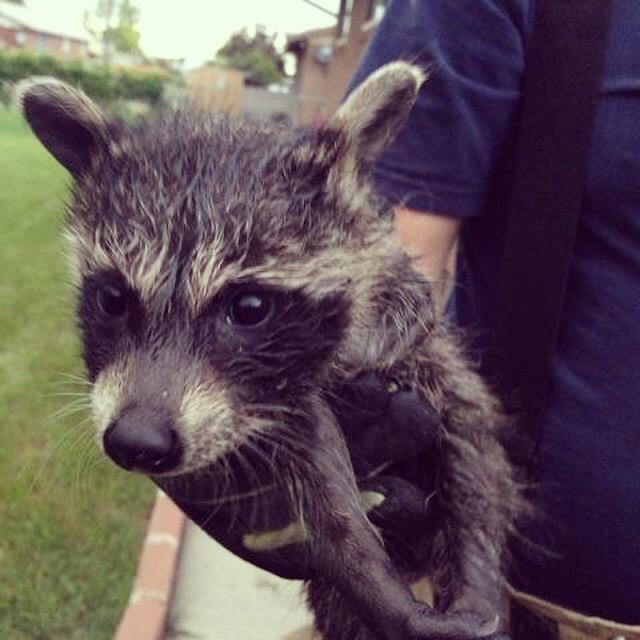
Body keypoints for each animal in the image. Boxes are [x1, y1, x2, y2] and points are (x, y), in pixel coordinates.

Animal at [18, 63, 521, 639]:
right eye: (113, 299)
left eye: (250, 307)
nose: (136, 441)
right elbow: (318, 498)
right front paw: (358, 564)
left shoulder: (421, 354)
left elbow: (472, 449)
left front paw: (473, 566)